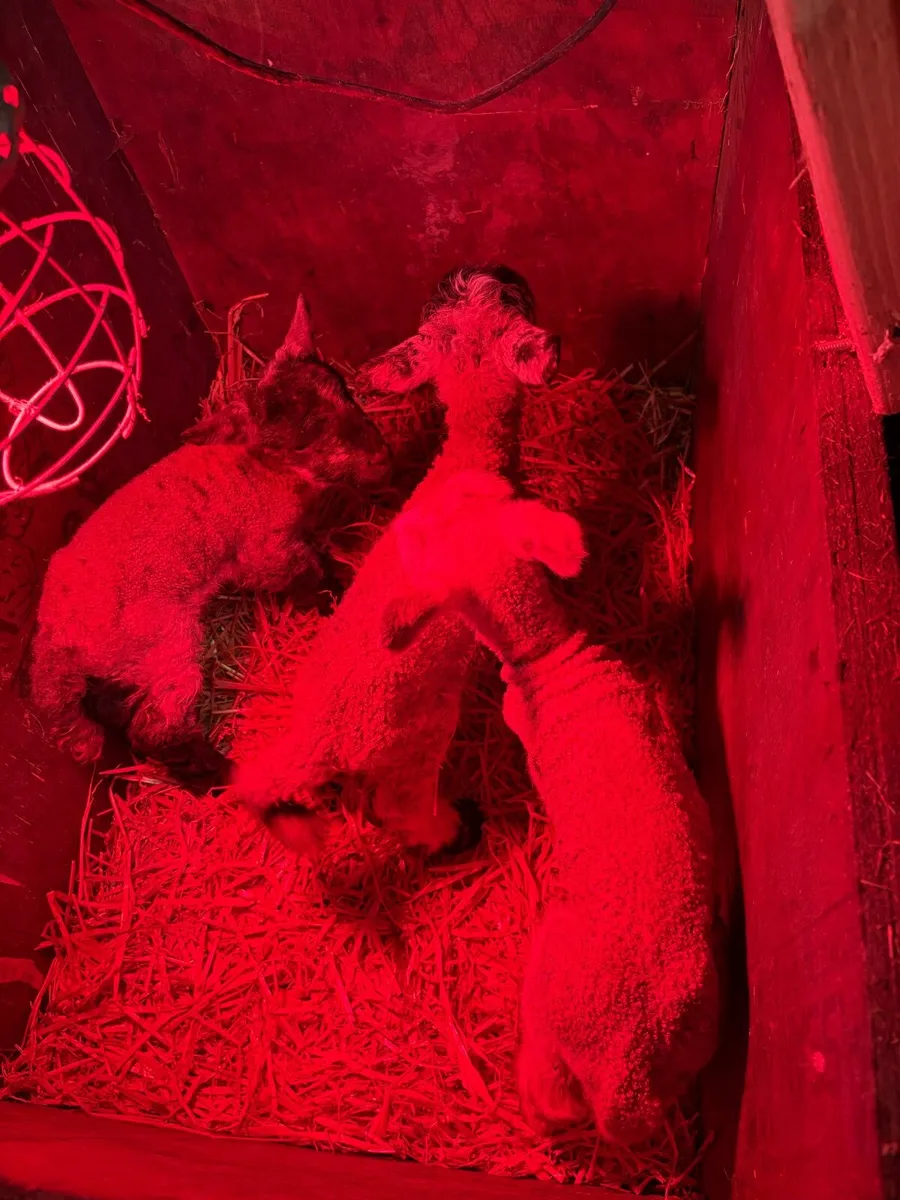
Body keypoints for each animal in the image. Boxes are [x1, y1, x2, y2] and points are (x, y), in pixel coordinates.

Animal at [29, 292, 391, 788]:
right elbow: (304, 578)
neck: (264, 469)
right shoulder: (266, 553)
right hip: (165, 643)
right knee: (157, 727)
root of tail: (51, 639)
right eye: (296, 442)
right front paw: (338, 594)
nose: (380, 457)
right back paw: (219, 776)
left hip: (123, 669)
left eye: (344, 392)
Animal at [232, 266, 560, 857]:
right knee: (397, 808)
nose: (507, 272)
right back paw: (455, 830)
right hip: (414, 743)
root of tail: (322, 733)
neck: (467, 458)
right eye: (509, 298)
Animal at [380, 469, 724, 1145]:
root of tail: (626, 1075)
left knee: (551, 1097)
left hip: (548, 995)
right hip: (697, 1031)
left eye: (433, 536)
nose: (412, 513)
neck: (552, 658)